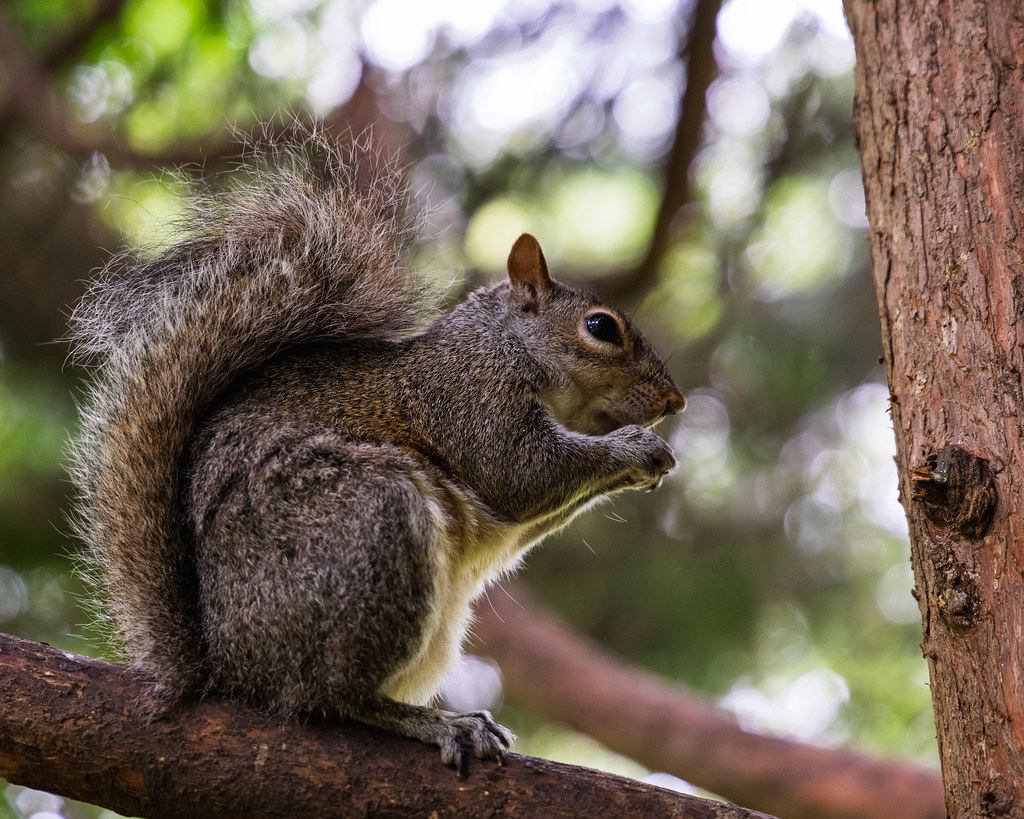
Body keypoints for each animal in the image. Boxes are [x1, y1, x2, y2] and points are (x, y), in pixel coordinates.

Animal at [68, 128, 685, 770]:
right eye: (600, 327)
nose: (676, 401)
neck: (507, 345)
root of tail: (226, 668)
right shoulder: (469, 397)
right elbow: (519, 473)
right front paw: (634, 448)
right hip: (373, 526)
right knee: (334, 697)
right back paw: (439, 723)